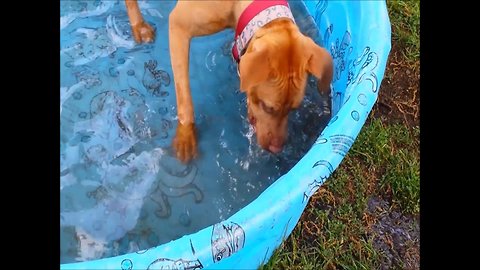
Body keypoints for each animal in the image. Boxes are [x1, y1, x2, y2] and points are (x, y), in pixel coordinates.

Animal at [125, 0, 332, 162]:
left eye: (293, 109)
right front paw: (185, 135)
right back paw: (139, 25)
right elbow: (184, 95)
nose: (277, 149)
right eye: (267, 106)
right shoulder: (178, 25)